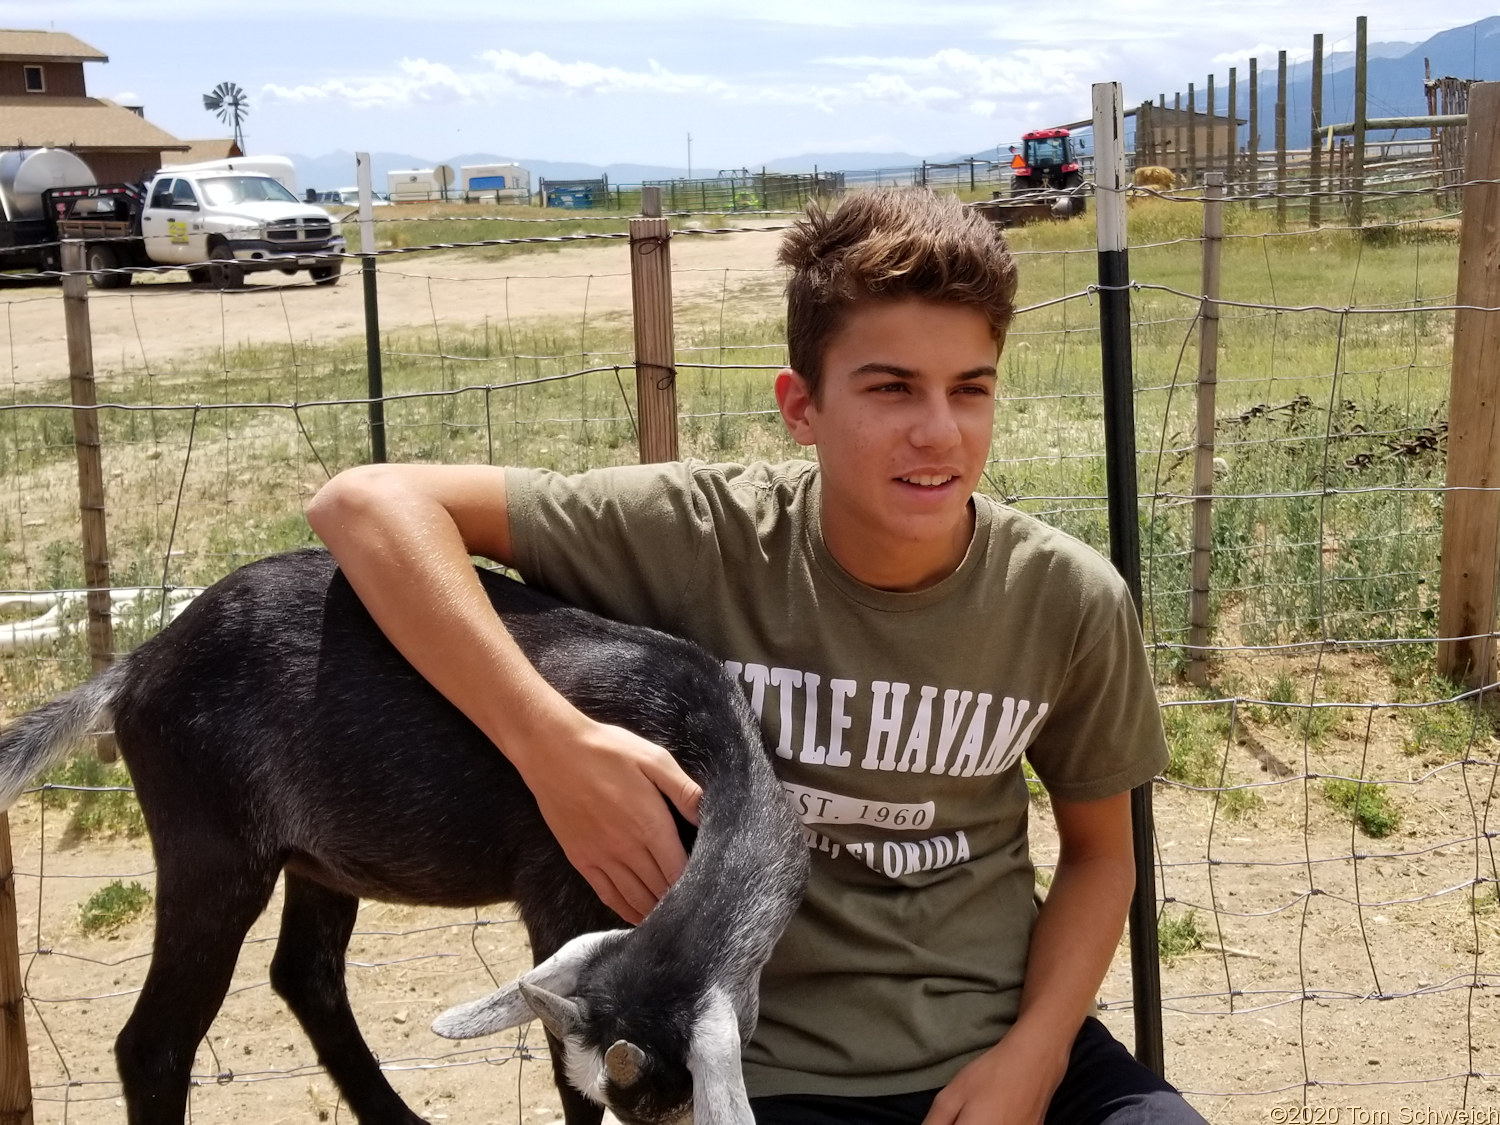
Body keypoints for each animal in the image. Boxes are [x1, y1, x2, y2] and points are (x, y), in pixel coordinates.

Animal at [0, 552, 810, 1125]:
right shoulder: (563, 883)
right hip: (212, 848)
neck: (699, 736)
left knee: (305, 973)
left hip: (317, 861)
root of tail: (138, 664)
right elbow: (560, 1072)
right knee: (154, 1046)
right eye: (651, 1110)